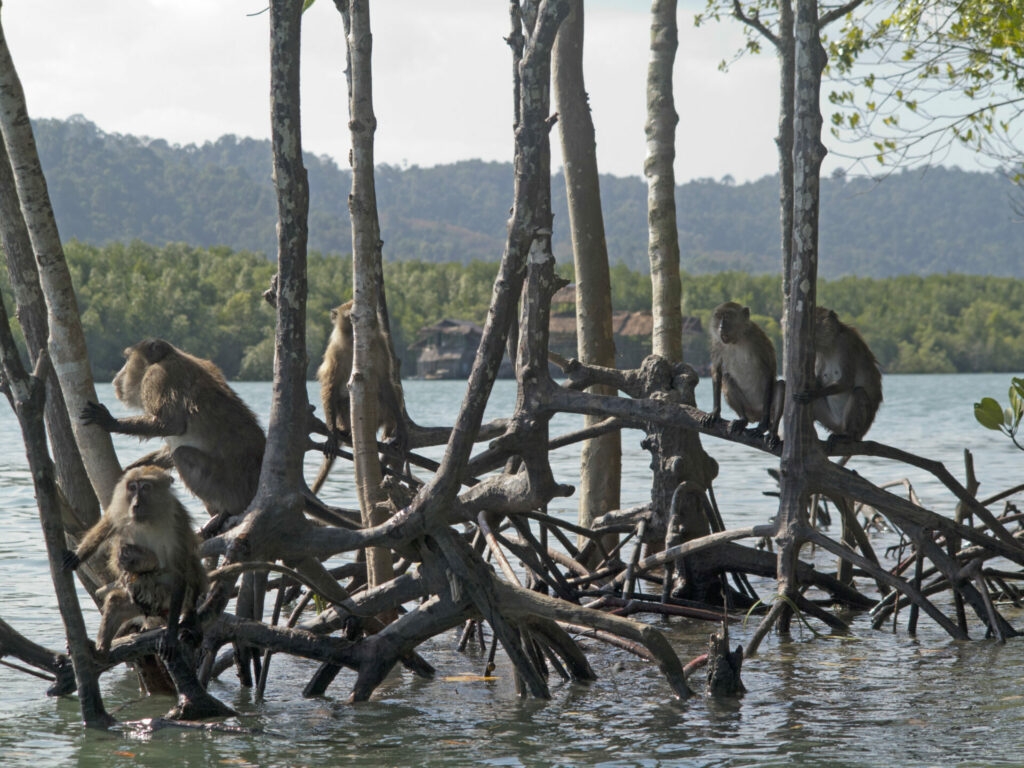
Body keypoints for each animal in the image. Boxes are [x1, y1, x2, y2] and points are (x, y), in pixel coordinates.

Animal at [62, 466, 207, 659]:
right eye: (132, 487)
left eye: (145, 487)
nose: (135, 504)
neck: (149, 519)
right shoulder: (121, 511)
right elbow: (104, 529)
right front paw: (77, 556)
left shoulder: (177, 520)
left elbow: (179, 569)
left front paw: (171, 635)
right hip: (138, 607)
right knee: (116, 602)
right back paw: (99, 650)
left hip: (169, 600)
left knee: (191, 566)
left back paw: (189, 618)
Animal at [704, 301, 782, 444]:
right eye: (719, 317)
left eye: (727, 316)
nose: (721, 327)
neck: (737, 339)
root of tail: (756, 414)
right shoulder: (717, 343)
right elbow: (717, 371)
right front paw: (715, 412)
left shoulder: (758, 338)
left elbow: (769, 371)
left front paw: (763, 426)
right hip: (748, 408)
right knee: (727, 379)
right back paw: (742, 420)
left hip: (766, 407)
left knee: (780, 385)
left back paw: (772, 431)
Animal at [794, 307, 884, 448]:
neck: (830, 344)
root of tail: (840, 427)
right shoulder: (819, 352)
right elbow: (820, 381)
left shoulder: (846, 345)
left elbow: (847, 382)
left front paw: (813, 394)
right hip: (831, 421)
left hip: (858, 428)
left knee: (859, 392)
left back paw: (848, 436)